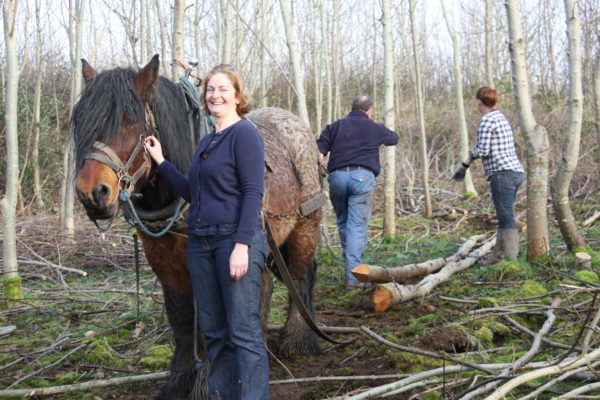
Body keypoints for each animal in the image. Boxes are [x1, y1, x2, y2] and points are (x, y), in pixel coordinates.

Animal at [73, 56, 326, 400]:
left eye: (130, 121)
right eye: (81, 121)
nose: (92, 193)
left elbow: (209, 324)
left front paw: (209, 386)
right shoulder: (166, 265)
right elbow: (181, 320)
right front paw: (178, 382)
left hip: (304, 225)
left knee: (300, 275)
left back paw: (298, 338)